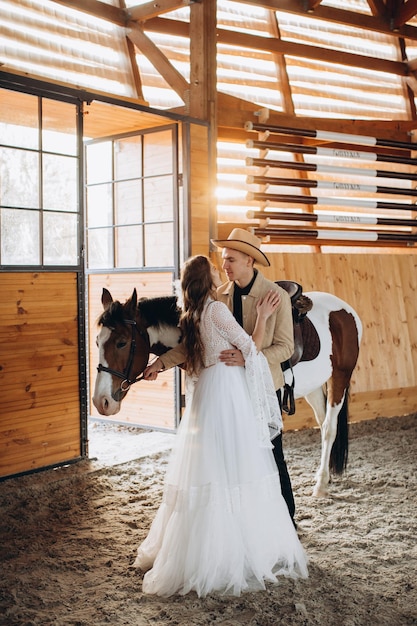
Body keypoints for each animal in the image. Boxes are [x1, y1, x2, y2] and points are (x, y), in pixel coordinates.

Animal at [93, 286, 360, 494]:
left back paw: (321, 485)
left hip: (340, 378)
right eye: (97, 342)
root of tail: (345, 310)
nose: (100, 401)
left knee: (329, 428)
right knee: (322, 423)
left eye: (122, 342)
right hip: (312, 387)